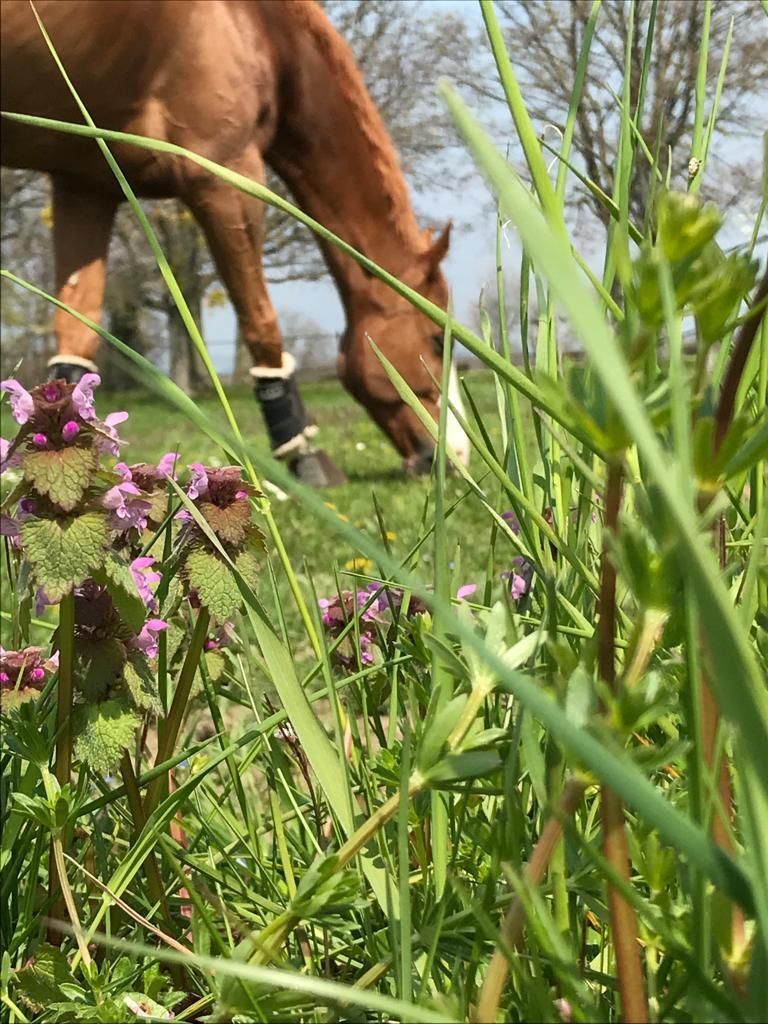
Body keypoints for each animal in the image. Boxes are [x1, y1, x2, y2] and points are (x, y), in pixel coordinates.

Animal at [1, 0, 470, 485]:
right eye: (437, 339)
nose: (456, 458)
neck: (259, 29)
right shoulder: (226, 175)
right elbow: (262, 324)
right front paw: (301, 453)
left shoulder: (85, 187)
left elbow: (75, 338)